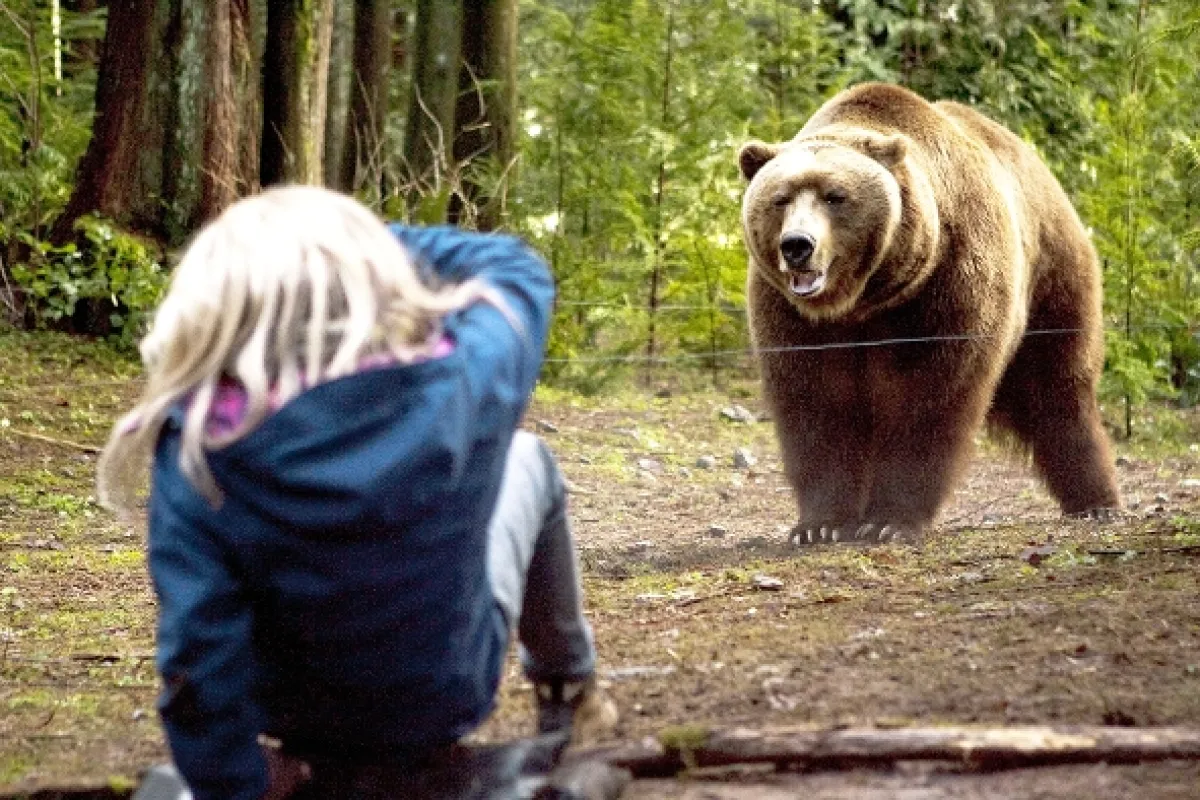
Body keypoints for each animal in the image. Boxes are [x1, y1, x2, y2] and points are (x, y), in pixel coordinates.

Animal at [737, 82, 1121, 545]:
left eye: (835, 196)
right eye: (780, 199)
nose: (797, 245)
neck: (864, 303)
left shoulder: (945, 288)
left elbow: (928, 401)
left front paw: (888, 521)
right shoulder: (796, 320)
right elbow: (817, 407)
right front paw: (820, 525)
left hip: (1052, 278)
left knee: (1058, 387)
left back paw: (1096, 503)